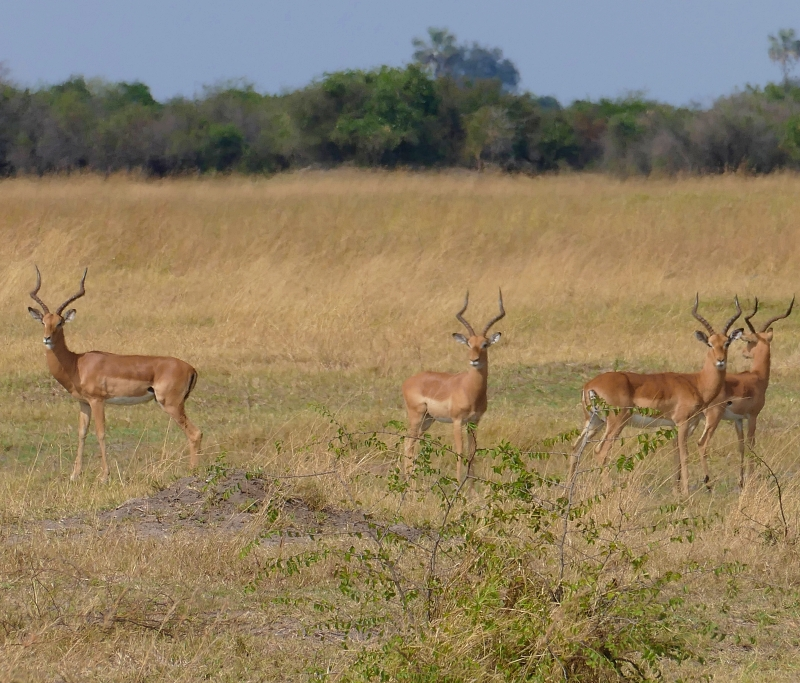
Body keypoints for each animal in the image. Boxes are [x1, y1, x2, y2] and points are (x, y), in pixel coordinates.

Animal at [27, 267, 202, 482]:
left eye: (60, 323)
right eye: (44, 321)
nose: (47, 338)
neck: (76, 364)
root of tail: (191, 368)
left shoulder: (97, 401)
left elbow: (101, 433)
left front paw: (104, 476)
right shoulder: (83, 403)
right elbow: (82, 433)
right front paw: (75, 475)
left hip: (171, 404)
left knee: (195, 433)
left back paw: (193, 471)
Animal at [402, 291, 505, 483]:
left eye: (485, 344)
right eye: (469, 343)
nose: (474, 360)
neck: (469, 389)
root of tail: (409, 381)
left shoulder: (474, 422)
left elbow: (472, 454)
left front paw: (471, 488)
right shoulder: (457, 422)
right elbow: (459, 453)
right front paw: (458, 485)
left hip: (428, 419)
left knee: (411, 442)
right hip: (417, 416)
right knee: (409, 442)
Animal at [569, 296, 743, 496]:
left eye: (727, 342)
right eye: (710, 343)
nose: (720, 361)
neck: (697, 382)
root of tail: (590, 385)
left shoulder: (680, 426)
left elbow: (675, 456)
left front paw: (676, 491)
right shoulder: (682, 423)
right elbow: (684, 455)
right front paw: (686, 492)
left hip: (594, 422)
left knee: (575, 449)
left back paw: (567, 492)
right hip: (616, 422)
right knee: (600, 451)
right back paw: (608, 489)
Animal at [697, 296, 794, 488]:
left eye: (749, 342)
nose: (743, 352)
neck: (757, 377)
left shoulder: (738, 419)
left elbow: (740, 445)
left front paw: (741, 481)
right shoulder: (753, 416)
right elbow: (751, 444)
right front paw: (751, 479)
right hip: (713, 418)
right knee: (702, 444)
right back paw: (707, 482)